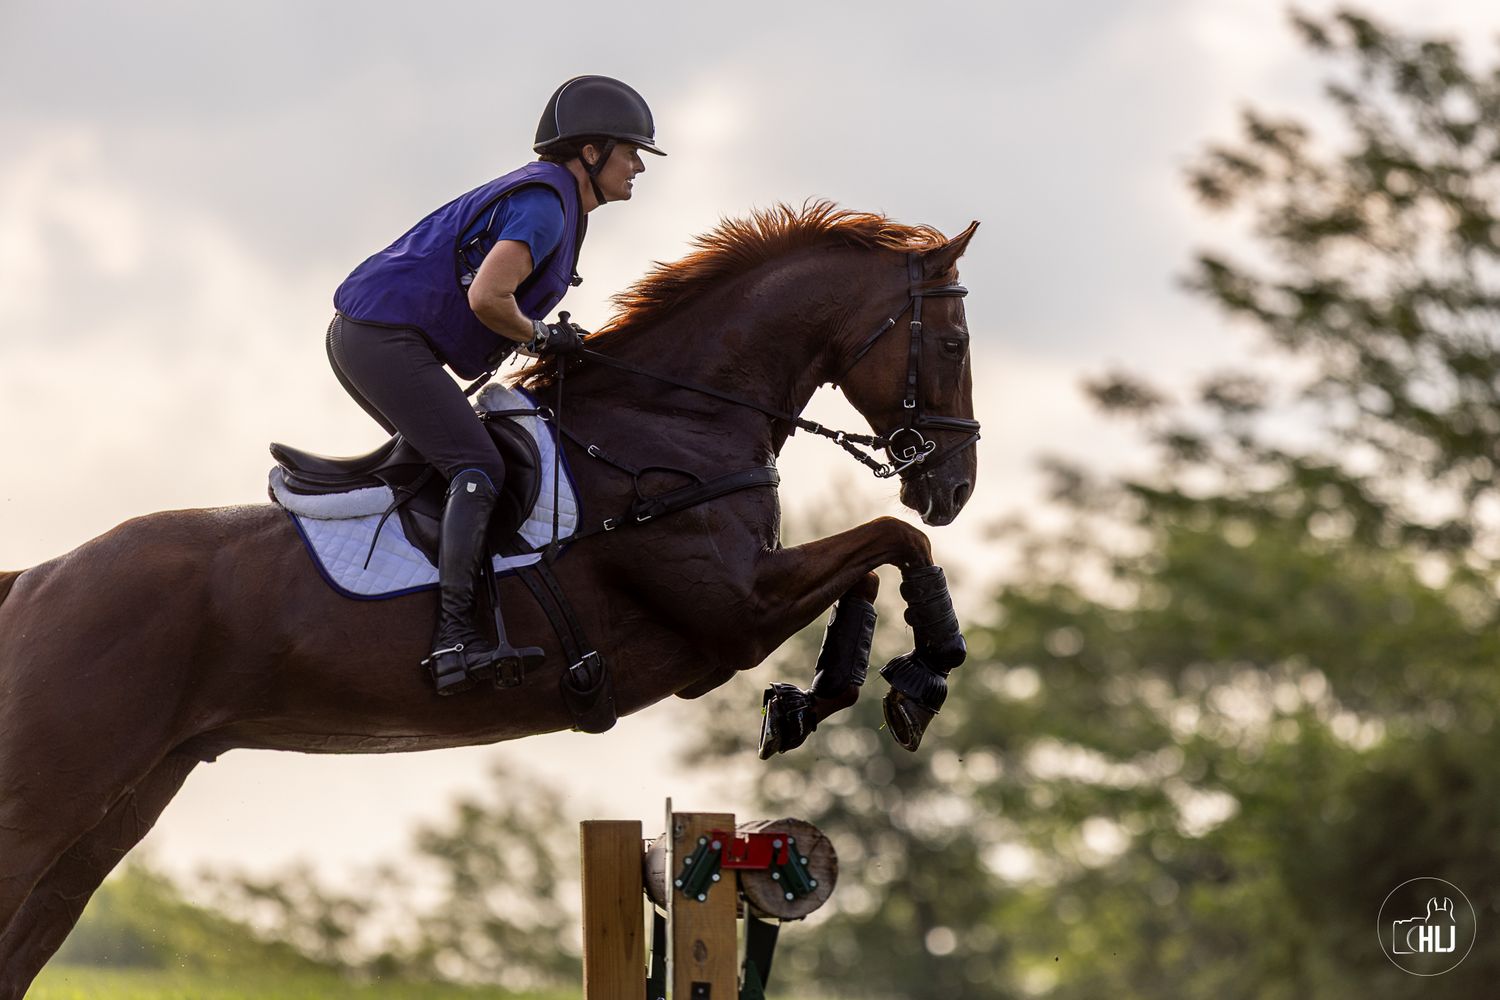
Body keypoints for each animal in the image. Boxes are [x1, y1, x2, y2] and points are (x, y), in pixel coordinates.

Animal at [0, 201, 979, 992]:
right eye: (954, 344)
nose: (955, 486)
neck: (672, 421)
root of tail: (37, 580)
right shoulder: (731, 612)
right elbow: (892, 544)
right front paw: (923, 675)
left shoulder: (742, 608)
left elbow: (875, 561)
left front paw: (818, 697)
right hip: (50, 794)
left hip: (119, 809)